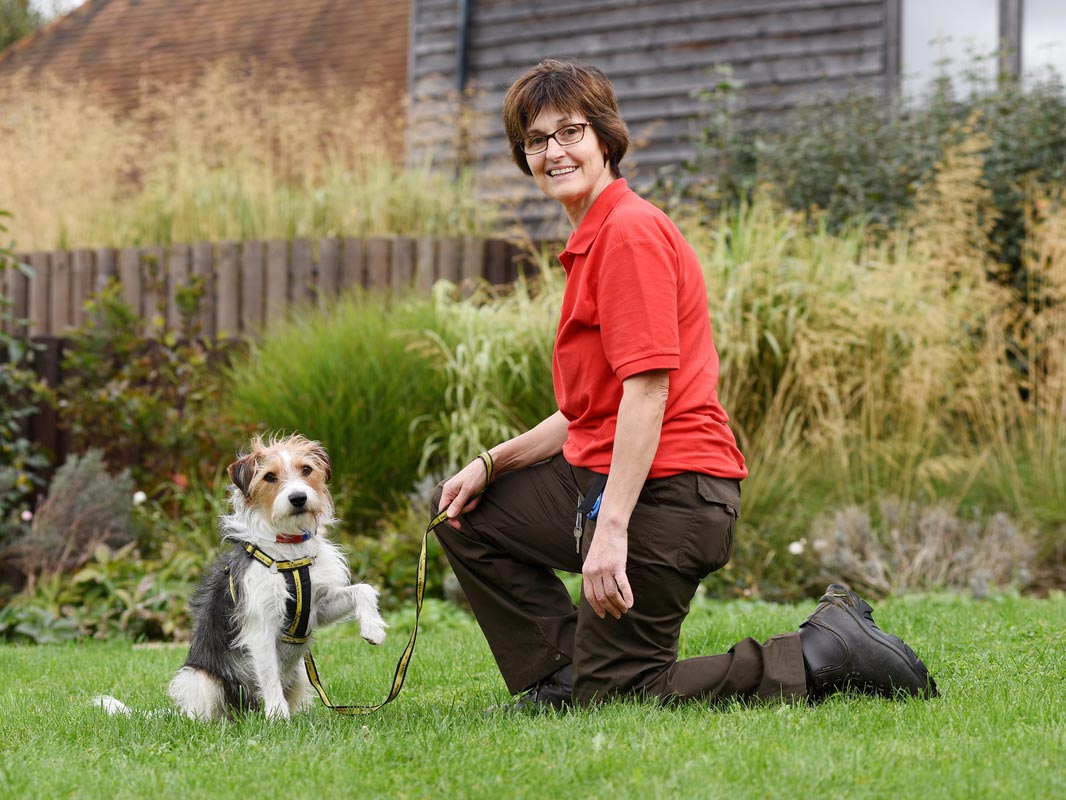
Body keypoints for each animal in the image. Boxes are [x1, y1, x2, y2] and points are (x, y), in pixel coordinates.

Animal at [97, 435, 388, 725]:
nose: (298, 498)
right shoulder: (260, 626)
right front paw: (277, 717)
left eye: (306, 469)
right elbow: (269, 675)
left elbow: (363, 589)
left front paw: (373, 628)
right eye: (269, 476)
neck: (289, 551)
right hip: (200, 679)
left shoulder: (318, 605)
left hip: (300, 677)